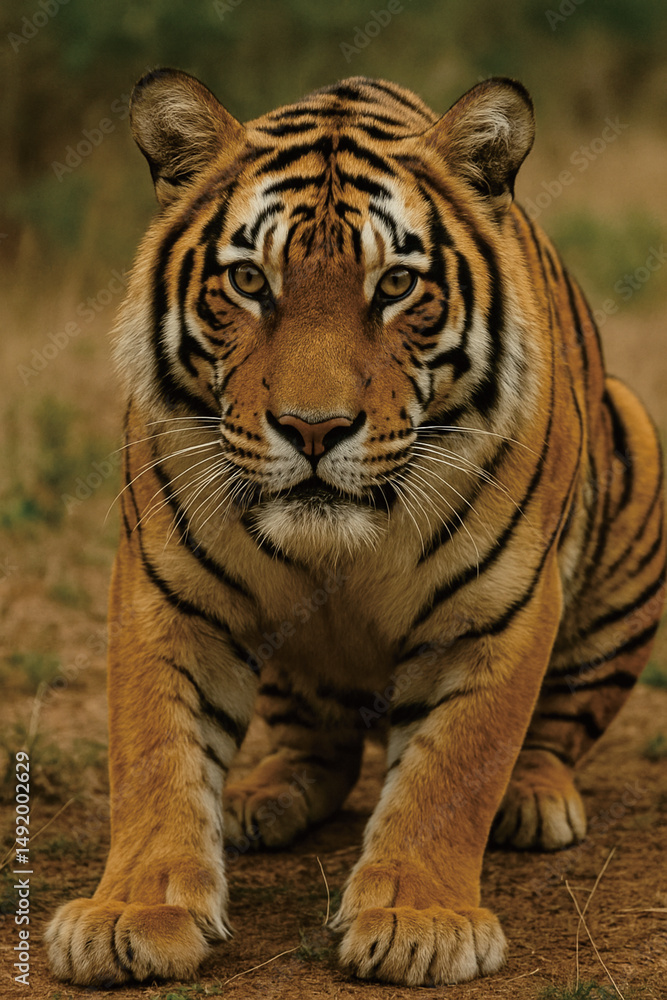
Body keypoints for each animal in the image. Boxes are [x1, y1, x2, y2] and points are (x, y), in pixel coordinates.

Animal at [45, 69, 665, 988]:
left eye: (396, 287)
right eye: (250, 282)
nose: (313, 429)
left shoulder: (500, 608)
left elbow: (454, 768)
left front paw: (417, 920)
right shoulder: (164, 590)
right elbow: (154, 751)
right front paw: (133, 912)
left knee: (553, 729)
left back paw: (532, 798)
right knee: (321, 748)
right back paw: (260, 800)